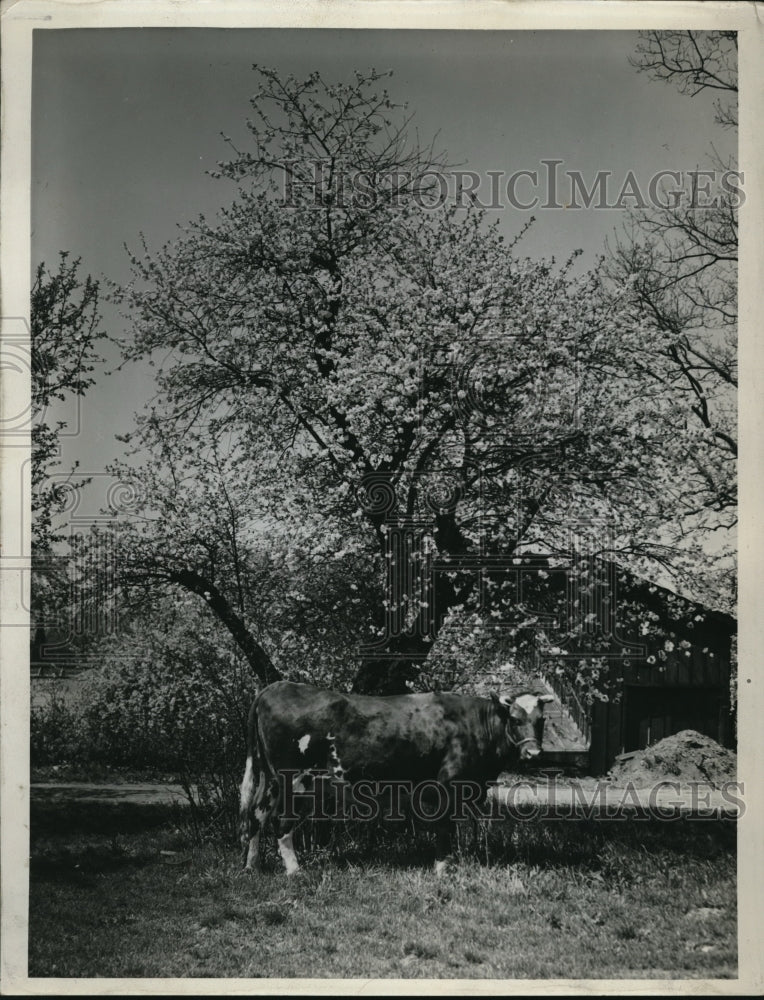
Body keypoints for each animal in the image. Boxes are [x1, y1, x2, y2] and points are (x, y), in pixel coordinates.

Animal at [239, 680, 554, 875]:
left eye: (541, 720)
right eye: (515, 719)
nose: (534, 753)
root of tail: (276, 686)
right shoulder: (448, 784)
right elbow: (445, 827)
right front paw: (442, 868)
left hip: (271, 778)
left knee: (256, 814)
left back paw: (252, 866)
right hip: (294, 779)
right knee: (281, 821)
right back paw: (294, 870)